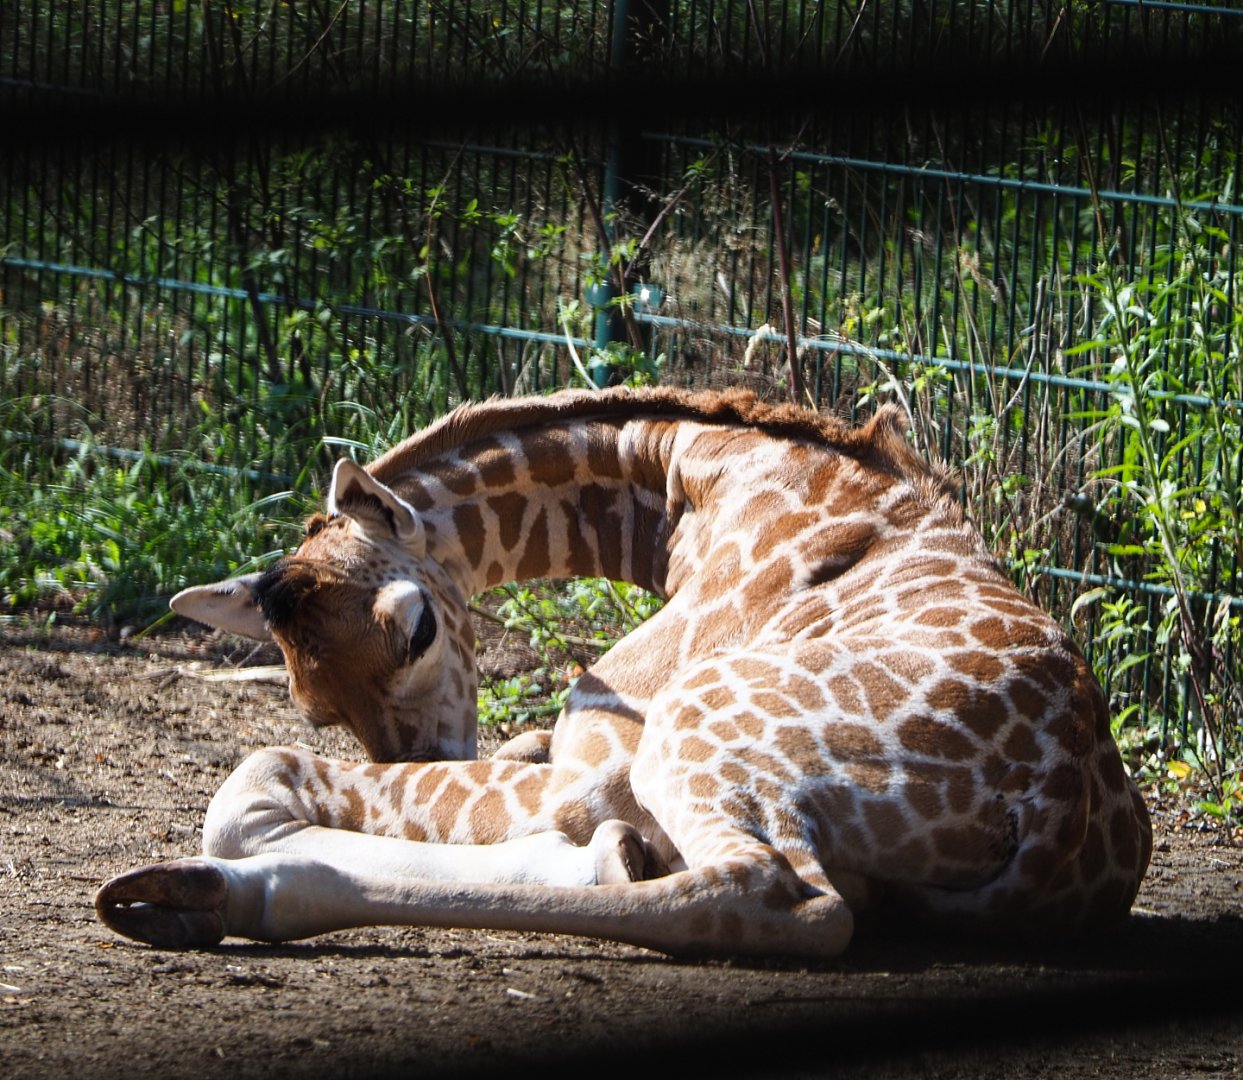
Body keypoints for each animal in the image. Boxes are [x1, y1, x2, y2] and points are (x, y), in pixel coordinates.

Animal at [96, 386, 1152, 959]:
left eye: (419, 628)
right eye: (312, 699)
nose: (433, 747)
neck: (691, 485)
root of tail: (1060, 832)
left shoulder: (596, 755)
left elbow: (248, 783)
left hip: (695, 724)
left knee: (785, 898)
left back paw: (203, 893)